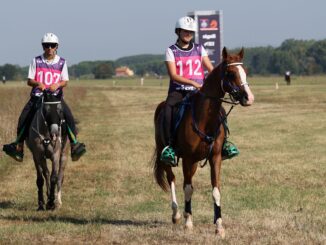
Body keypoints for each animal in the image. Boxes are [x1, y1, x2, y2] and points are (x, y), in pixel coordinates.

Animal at [153, 47, 255, 236]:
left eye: (245, 71)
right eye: (230, 73)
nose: (249, 97)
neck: (205, 120)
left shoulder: (215, 158)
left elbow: (216, 190)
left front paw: (219, 226)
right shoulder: (187, 158)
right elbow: (187, 189)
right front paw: (188, 223)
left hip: (194, 163)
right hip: (166, 155)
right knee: (171, 178)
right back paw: (176, 215)